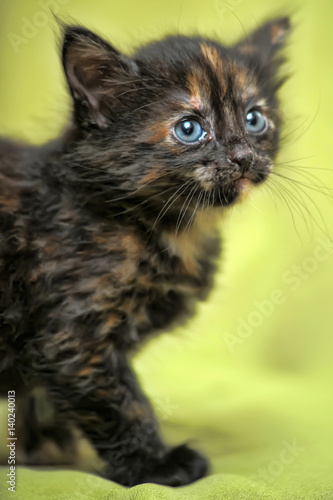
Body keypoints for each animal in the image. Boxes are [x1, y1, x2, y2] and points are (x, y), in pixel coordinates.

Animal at [0, 17, 290, 486]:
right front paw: (158, 465)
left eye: (254, 119)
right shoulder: (74, 335)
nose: (243, 156)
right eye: (189, 129)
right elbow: (123, 405)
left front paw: (43, 451)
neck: (174, 229)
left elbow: (42, 399)